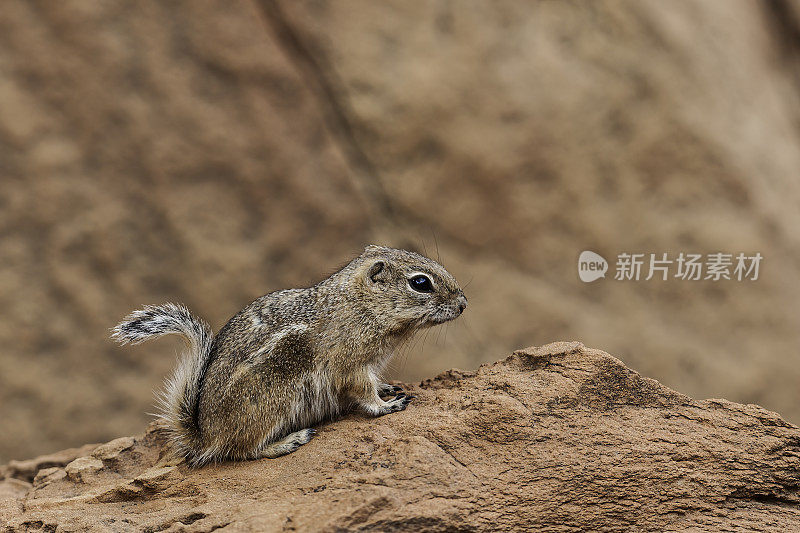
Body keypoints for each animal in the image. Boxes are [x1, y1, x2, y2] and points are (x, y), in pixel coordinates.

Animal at [109, 245, 466, 466]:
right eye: (420, 283)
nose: (464, 303)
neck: (359, 305)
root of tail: (204, 435)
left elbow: (375, 383)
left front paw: (388, 388)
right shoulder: (351, 367)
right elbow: (364, 394)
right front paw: (387, 405)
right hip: (275, 403)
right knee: (242, 451)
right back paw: (290, 440)